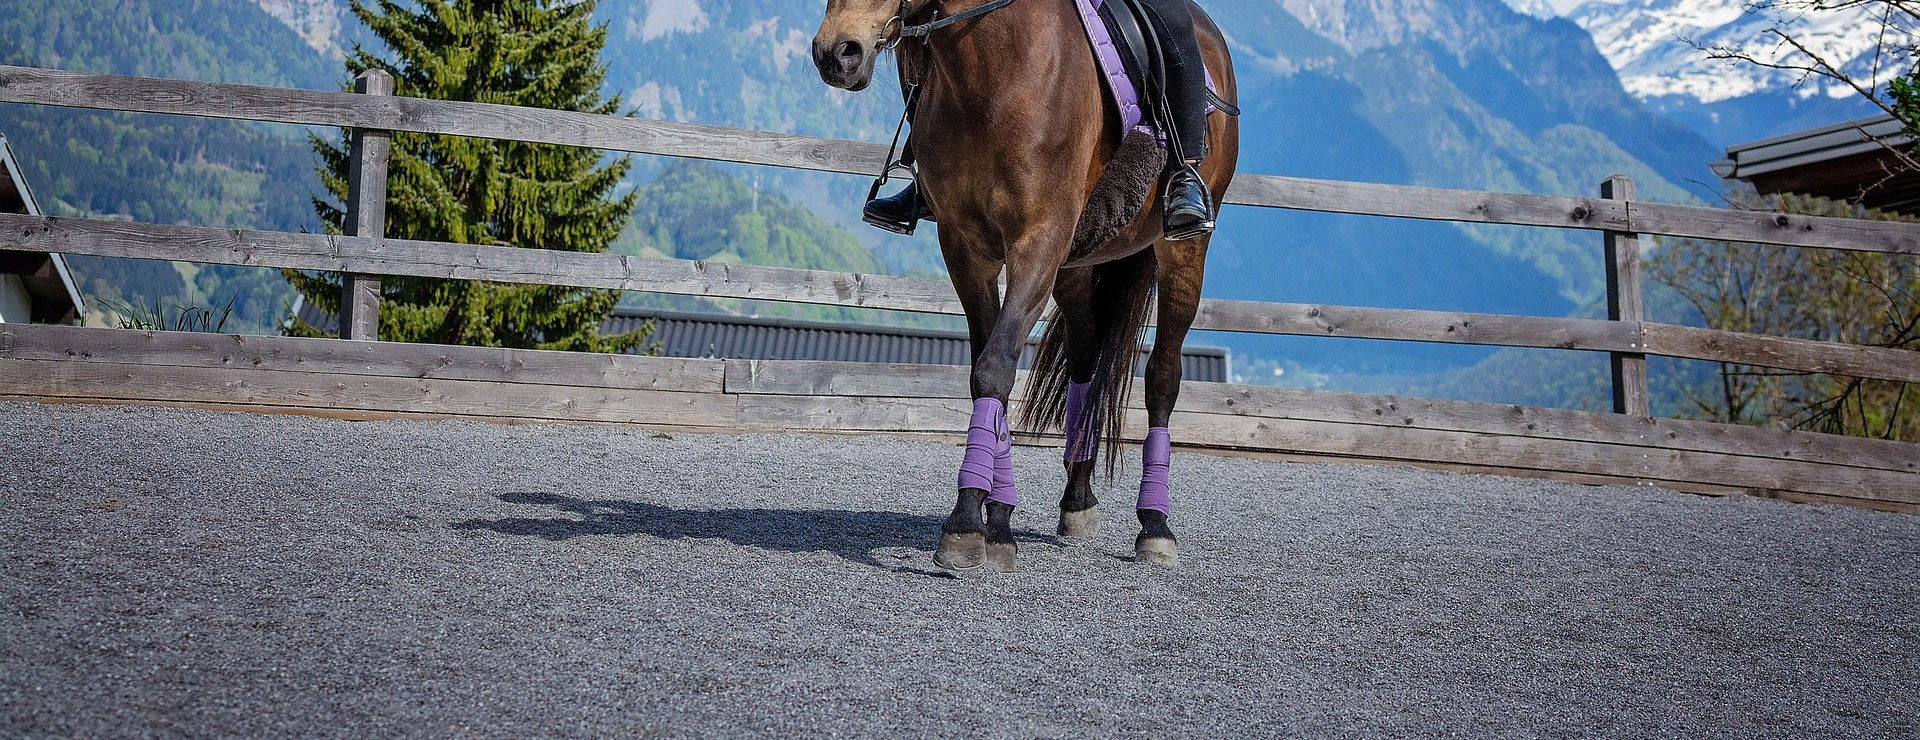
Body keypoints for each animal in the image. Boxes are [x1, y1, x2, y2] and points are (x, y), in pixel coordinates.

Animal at [812, 0, 1239, 570]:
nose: (837, 53)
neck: (994, 71)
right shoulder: (965, 248)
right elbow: (984, 370)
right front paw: (995, 522)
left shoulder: (1039, 241)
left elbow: (995, 367)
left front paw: (967, 525)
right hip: (1079, 260)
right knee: (1085, 362)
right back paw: (1078, 500)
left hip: (1182, 253)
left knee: (1163, 379)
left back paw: (1155, 527)